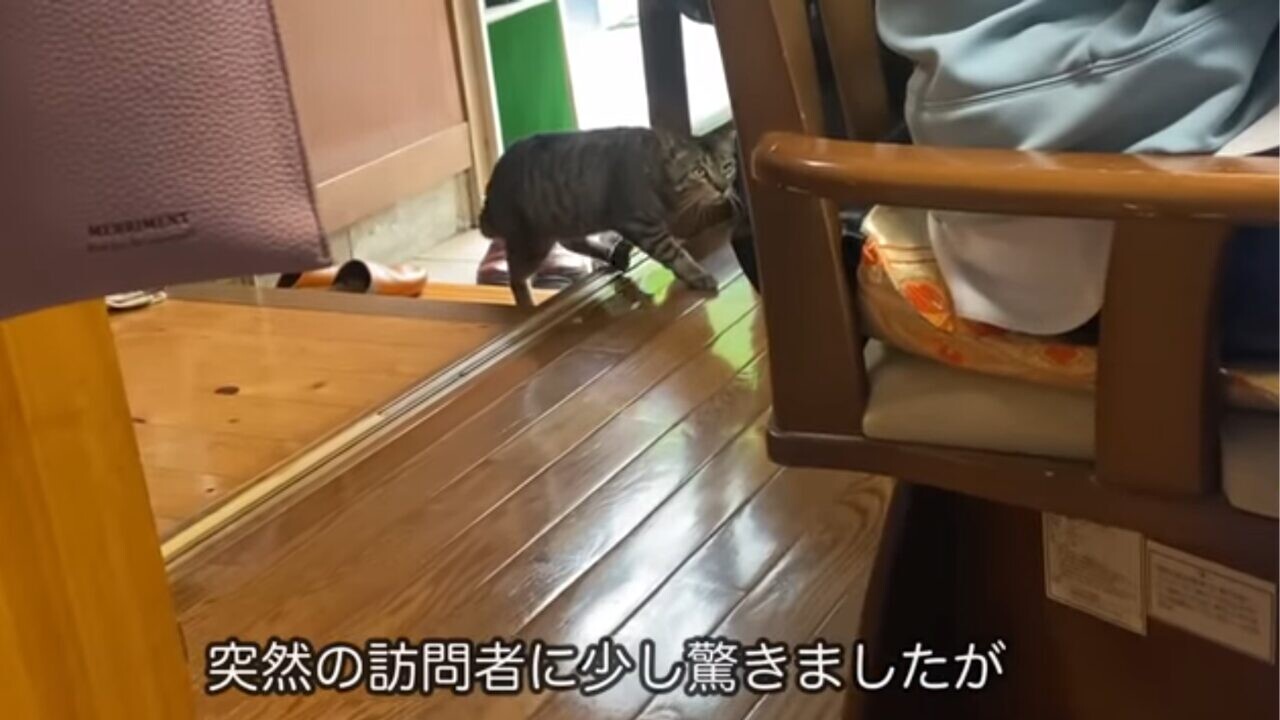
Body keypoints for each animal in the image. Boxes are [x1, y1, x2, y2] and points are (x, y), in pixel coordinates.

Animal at [478, 125, 739, 308]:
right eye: (699, 171)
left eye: (727, 167)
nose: (722, 187)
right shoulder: (642, 225)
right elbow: (674, 253)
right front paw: (697, 274)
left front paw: (621, 249)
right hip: (532, 241)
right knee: (516, 276)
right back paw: (526, 305)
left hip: (570, 218)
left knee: (571, 242)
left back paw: (611, 256)